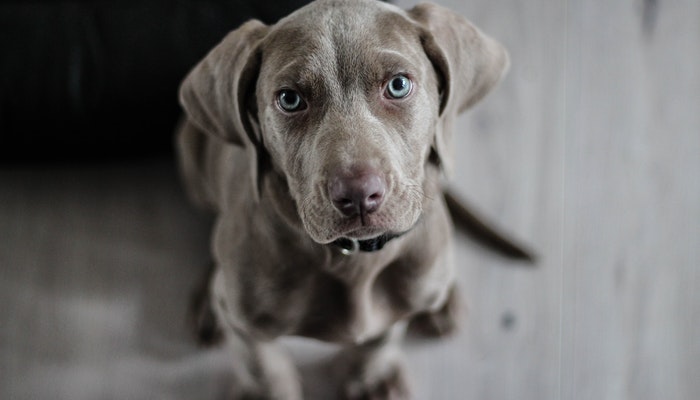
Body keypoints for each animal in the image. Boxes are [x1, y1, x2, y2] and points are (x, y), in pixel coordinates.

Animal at [176, 1, 520, 398]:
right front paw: (268, 389)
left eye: (398, 85)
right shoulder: (246, 324)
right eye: (289, 99)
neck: (353, 260)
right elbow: (261, 364)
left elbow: (382, 336)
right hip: (190, 153)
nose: (358, 195)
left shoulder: (396, 303)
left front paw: (372, 377)